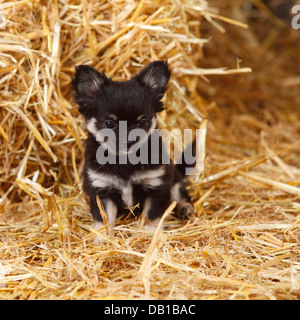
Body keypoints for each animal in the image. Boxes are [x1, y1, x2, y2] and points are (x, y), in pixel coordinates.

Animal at [72, 60, 195, 241]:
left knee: (179, 194)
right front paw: (103, 238)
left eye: (142, 122)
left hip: (174, 179)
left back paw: (185, 208)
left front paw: (150, 232)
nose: (129, 140)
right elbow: (104, 218)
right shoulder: (100, 188)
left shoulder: (157, 184)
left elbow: (152, 213)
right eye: (109, 123)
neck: (125, 161)